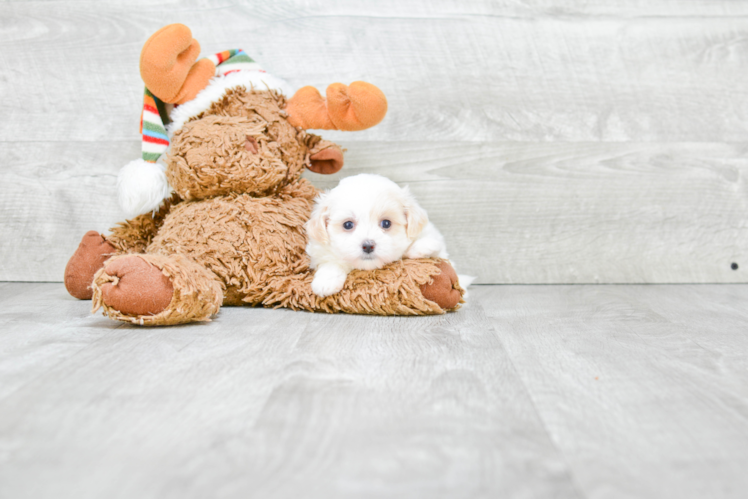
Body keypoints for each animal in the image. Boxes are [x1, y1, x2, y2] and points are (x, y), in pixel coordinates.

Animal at [306, 174, 448, 296]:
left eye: (386, 223)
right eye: (348, 225)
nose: (368, 246)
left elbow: (436, 247)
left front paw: (421, 247)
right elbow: (330, 262)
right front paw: (325, 282)